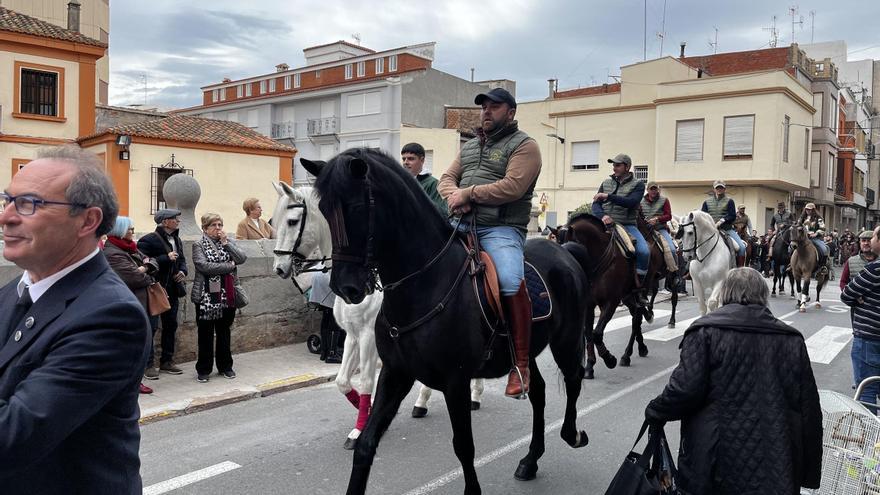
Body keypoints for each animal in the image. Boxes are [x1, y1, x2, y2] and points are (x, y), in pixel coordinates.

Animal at [302, 149, 592, 494]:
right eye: (324, 210)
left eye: (357, 207)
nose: (345, 287)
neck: (425, 282)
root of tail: (564, 251)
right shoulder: (396, 374)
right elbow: (366, 444)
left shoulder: (456, 382)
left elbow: (464, 446)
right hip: (526, 351)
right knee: (538, 391)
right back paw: (530, 460)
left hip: (567, 340)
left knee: (573, 380)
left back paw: (572, 434)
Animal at [564, 214, 668, 380]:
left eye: (570, 251)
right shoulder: (589, 305)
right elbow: (589, 334)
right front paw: (590, 366)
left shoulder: (610, 302)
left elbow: (597, 333)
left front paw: (609, 359)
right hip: (628, 297)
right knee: (636, 317)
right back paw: (641, 347)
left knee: (636, 320)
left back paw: (627, 355)